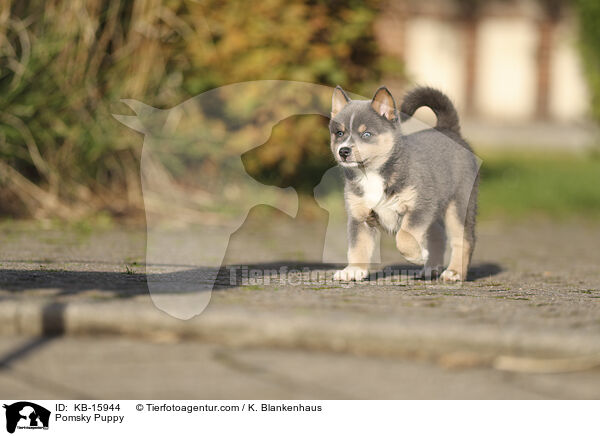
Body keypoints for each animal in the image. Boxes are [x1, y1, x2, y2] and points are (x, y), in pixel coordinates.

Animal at [328, 86, 478, 282]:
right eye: (339, 133)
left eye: (366, 134)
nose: (343, 151)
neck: (371, 174)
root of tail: (448, 129)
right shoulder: (359, 217)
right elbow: (357, 246)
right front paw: (354, 270)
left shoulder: (420, 207)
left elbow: (404, 237)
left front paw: (417, 256)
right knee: (438, 236)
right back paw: (431, 268)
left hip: (458, 206)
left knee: (464, 239)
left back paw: (454, 272)